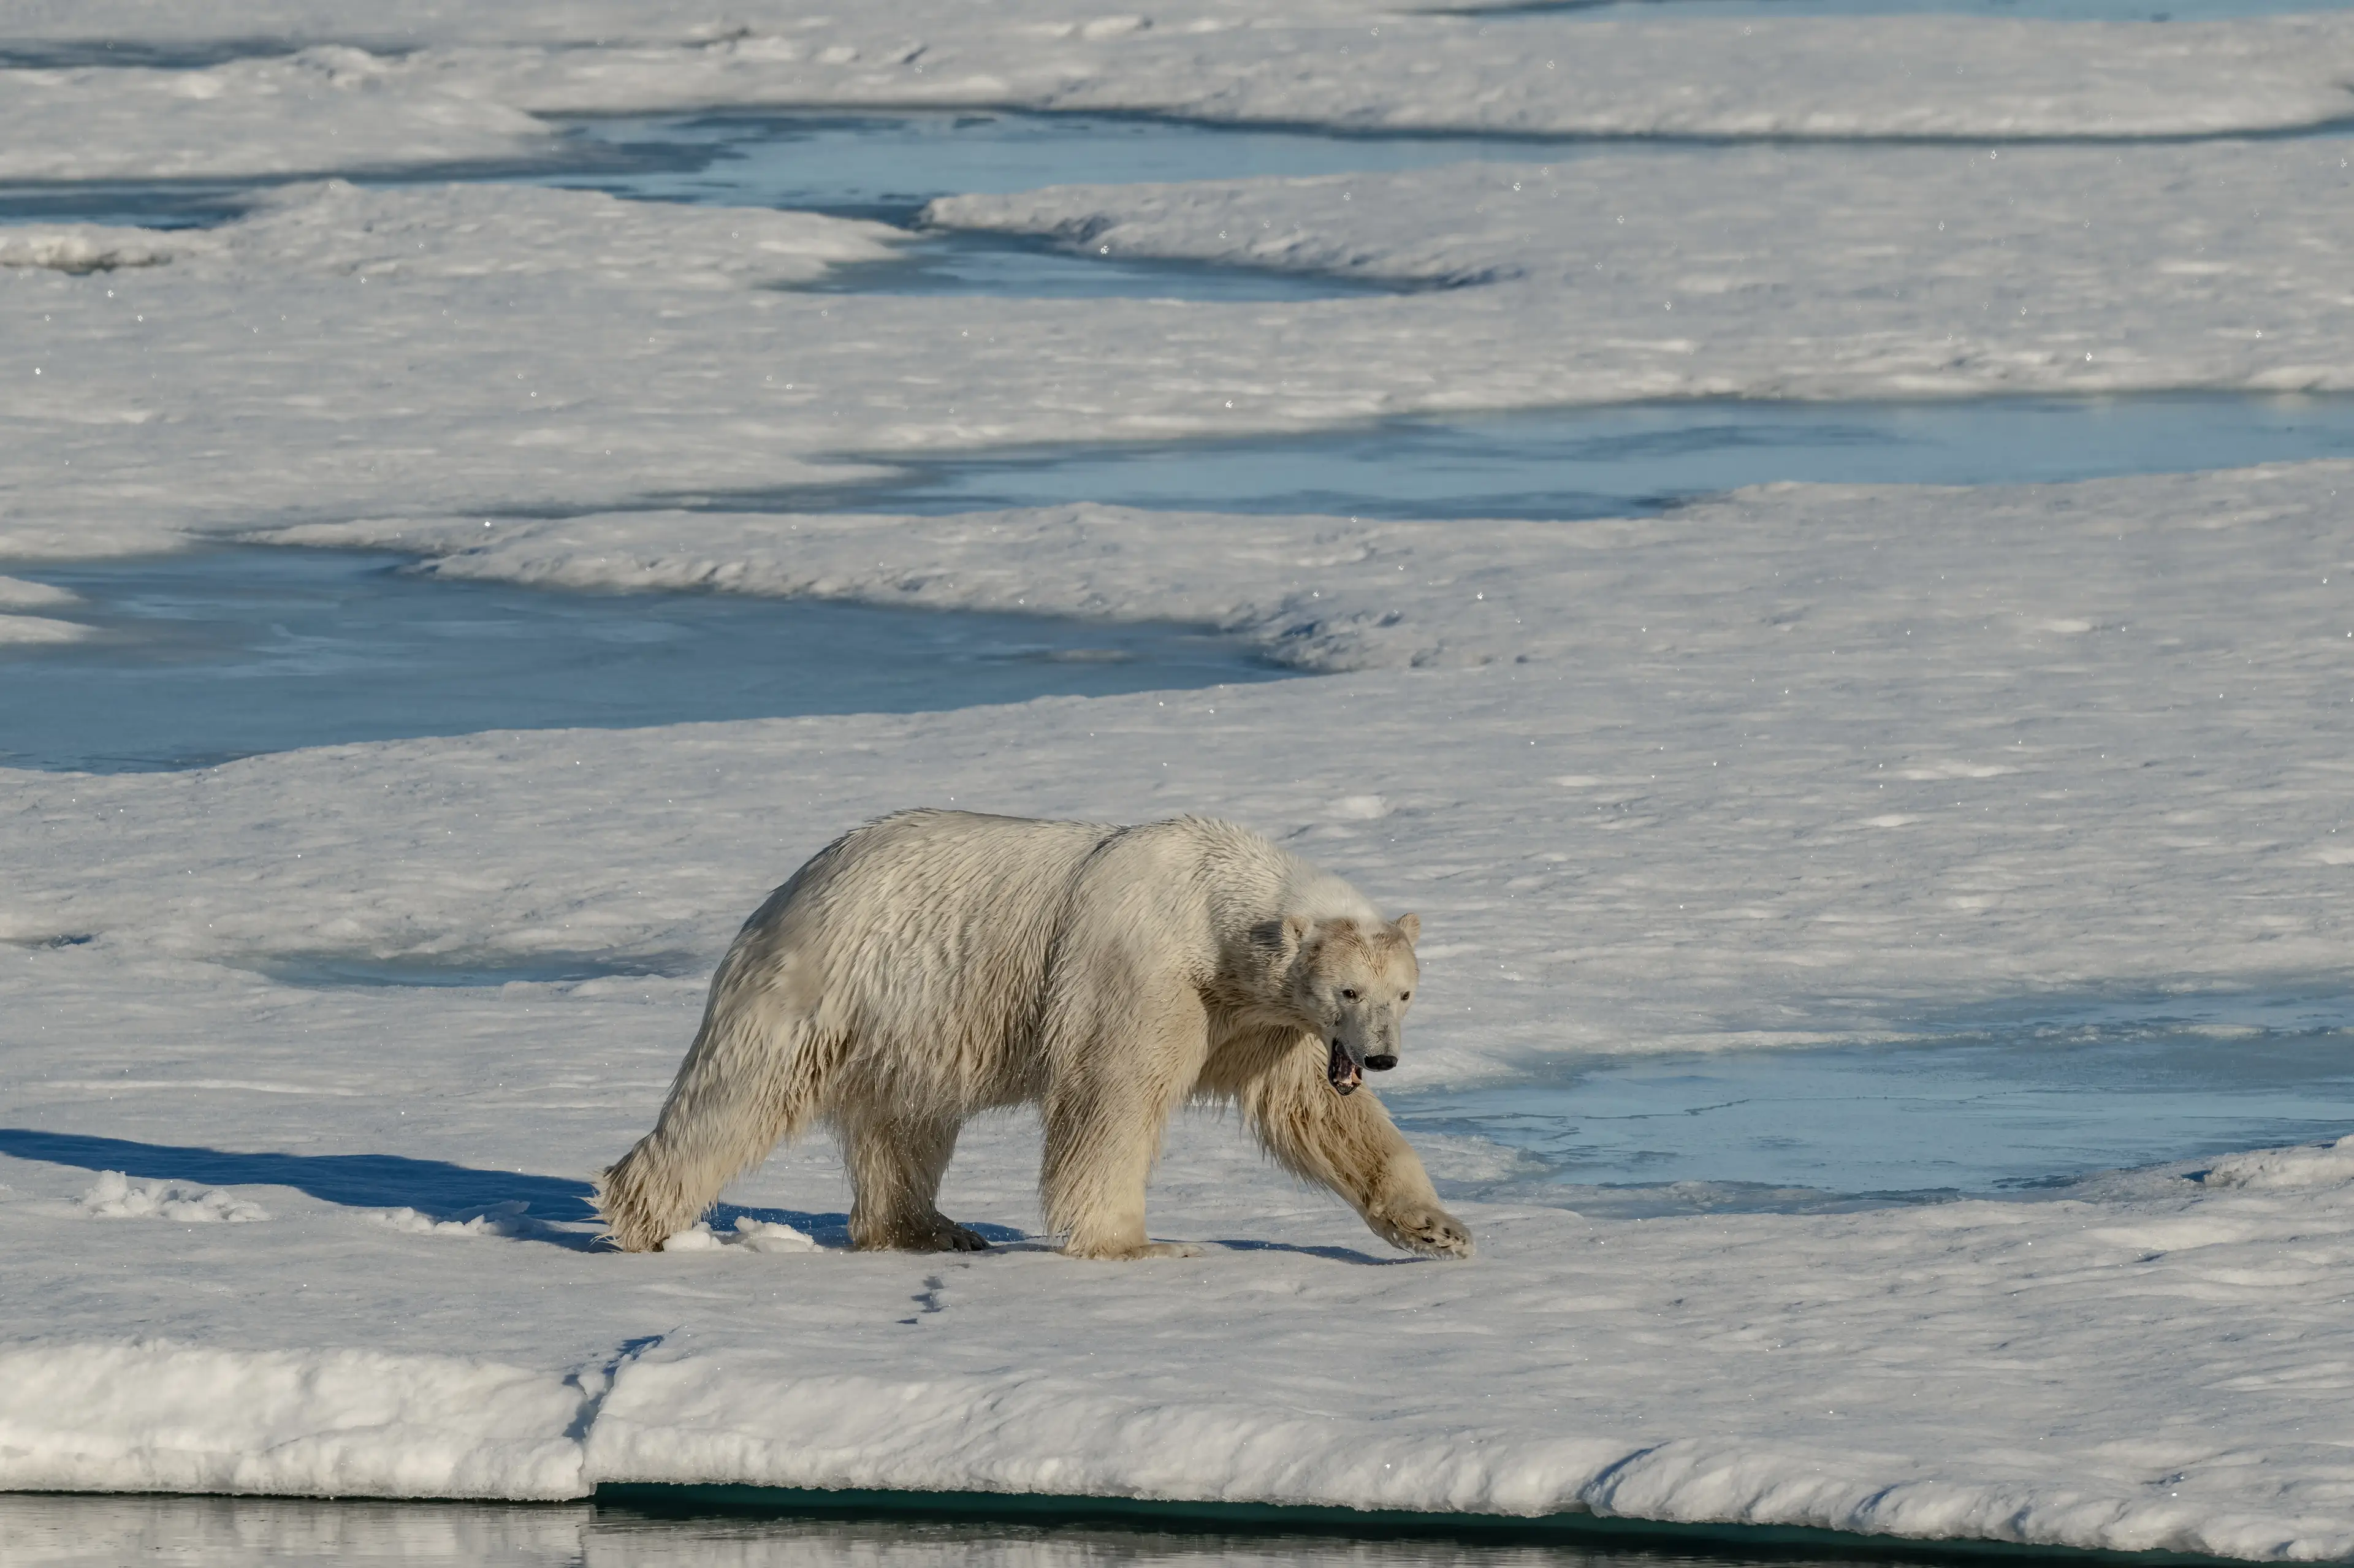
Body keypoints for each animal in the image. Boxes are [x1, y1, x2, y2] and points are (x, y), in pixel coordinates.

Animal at [595, 809, 1472, 1261]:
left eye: (1403, 991)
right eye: (1348, 989)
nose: (1381, 1055)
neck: (1213, 907)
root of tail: (788, 887)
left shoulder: (1264, 1020)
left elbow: (1318, 1115)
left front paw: (1439, 1228)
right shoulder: (1142, 970)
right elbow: (1111, 1096)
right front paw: (1137, 1244)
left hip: (913, 1021)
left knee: (906, 1121)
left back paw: (929, 1228)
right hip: (825, 983)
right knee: (735, 1099)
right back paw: (642, 1218)